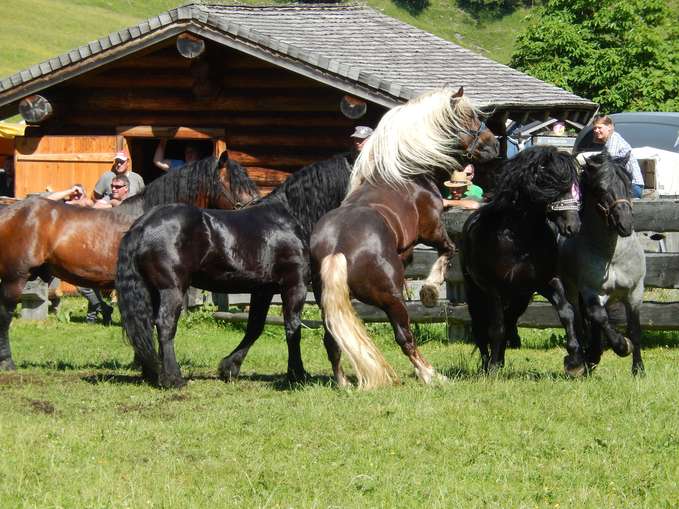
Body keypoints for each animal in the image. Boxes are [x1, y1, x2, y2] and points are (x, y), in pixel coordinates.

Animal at [116, 154, 354, 384]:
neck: (291, 218)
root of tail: (142, 224)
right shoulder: (295, 285)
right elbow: (292, 326)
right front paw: (297, 374)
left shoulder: (263, 290)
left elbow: (255, 327)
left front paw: (230, 367)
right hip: (171, 289)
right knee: (165, 324)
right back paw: (173, 378)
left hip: (151, 290)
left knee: (147, 325)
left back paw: (153, 373)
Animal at [310, 88, 500, 388]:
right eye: (469, 116)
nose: (495, 144)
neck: (401, 171)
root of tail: (336, 250)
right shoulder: (432, 230)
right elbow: (447, 250)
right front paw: (430, 291)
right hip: (391, 299)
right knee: (404, 338)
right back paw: (432, 375)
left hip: (328, 302)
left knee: (333, 342)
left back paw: (344, 383)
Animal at [462, 146, 584, 374]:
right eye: (550, 183)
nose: (573, 226)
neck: (519, 238)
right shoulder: (493, 288)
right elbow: (496, 327)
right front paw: (493, 368)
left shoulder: (545, 282)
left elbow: (567, 312)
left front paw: (575, 362)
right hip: (475, 291)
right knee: (481, 326)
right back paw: (487, 364)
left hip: (521, 297)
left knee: (509, 320)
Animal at [556, 150, 648, 374]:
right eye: (600, 189)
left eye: (628, 183)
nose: (625, 223)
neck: (612, 256)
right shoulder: (592, 292)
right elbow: (599, 317)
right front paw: (622, 346)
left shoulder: (635, 292)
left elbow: (635, 329)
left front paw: (638, 369)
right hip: (572, 290)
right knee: (581, 320)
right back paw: (584, 360)